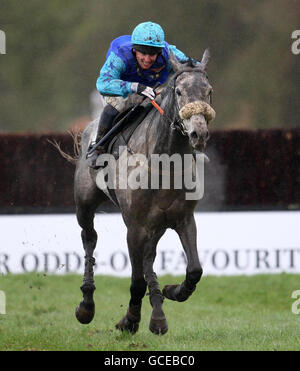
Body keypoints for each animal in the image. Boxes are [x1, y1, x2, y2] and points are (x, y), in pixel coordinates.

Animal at [75, 50, 216, 338]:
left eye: (208, 91)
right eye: (179, 91)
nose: (198, 133)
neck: (165, 164)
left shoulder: (183, 219)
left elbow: (195, 269)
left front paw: (172, 291)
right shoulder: (135, 226)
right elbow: (136, 281)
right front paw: (129, 320)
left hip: (156, 226)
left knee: (150, 258)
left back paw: (158, 315)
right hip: (85, 204)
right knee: (89, 238)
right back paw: (86, 305)